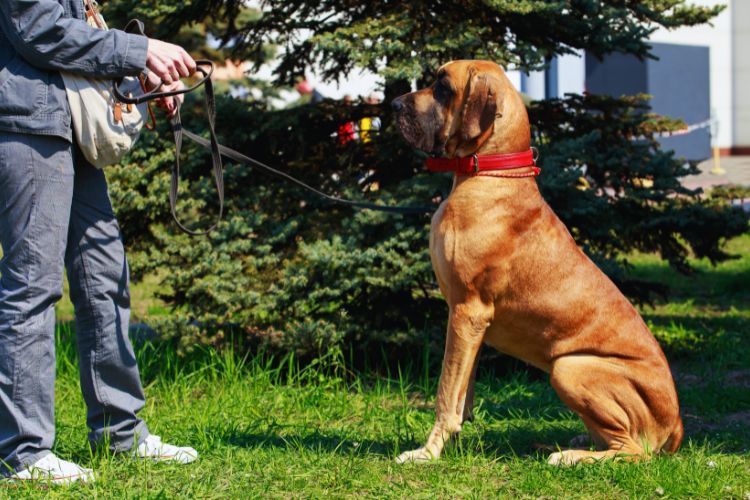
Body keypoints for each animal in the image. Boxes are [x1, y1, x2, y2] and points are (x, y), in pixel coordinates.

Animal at [390, 59, 684, 464]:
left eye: (442, 87)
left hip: (569, 367)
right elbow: (463, 392)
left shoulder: (467, 312)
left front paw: (427, 452)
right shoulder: (470, 324)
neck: (491, 170)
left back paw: (571, 458)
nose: (394, 105)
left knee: (633, 451)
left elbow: (446, 392)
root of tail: (677, 424)